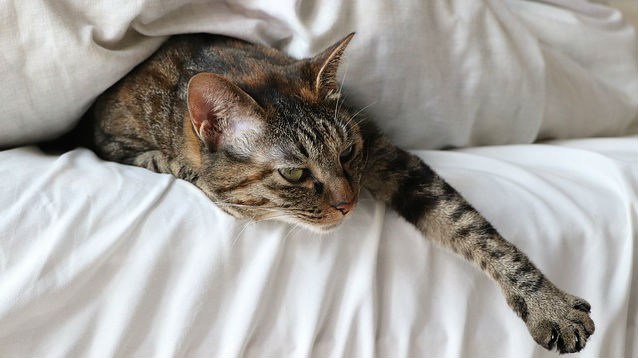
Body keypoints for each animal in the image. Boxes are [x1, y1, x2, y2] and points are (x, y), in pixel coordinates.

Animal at [81, 32, 596, 354]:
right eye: (293, 174)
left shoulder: (388, 155)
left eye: (347, 152)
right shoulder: (107, 139)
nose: (348, 204)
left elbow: (471, 227)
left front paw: (547, 303)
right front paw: (189, 171)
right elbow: (162, 162)